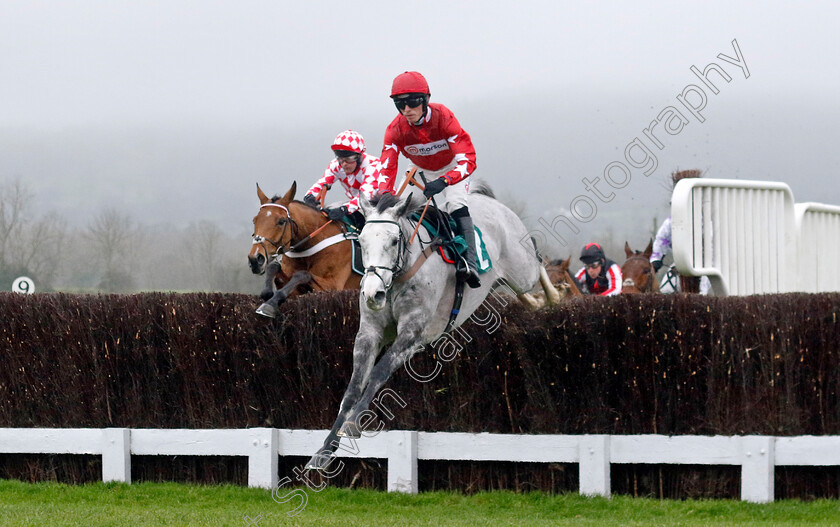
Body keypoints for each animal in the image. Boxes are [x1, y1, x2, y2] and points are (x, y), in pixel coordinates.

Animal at [244, 182, 360, 318]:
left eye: (281, 221)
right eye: (254, 220)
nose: (255, 259)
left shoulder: (332, 286)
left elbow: (303, 274)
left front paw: (269, 305)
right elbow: (273, 268)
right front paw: (268, 296)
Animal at [306, 190, 560, 470]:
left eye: (394, 241)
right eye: (361, 240)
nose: (373, 293)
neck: (399, 277)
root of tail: (491, 202)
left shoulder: (412, 332)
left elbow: (379, 372)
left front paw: (353, 423)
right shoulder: (369, 333)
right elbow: (352, 388)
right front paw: (325, 450)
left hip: (522, 270)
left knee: (537, 261)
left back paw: (553, 295)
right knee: (519, 291)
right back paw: (534, 302)